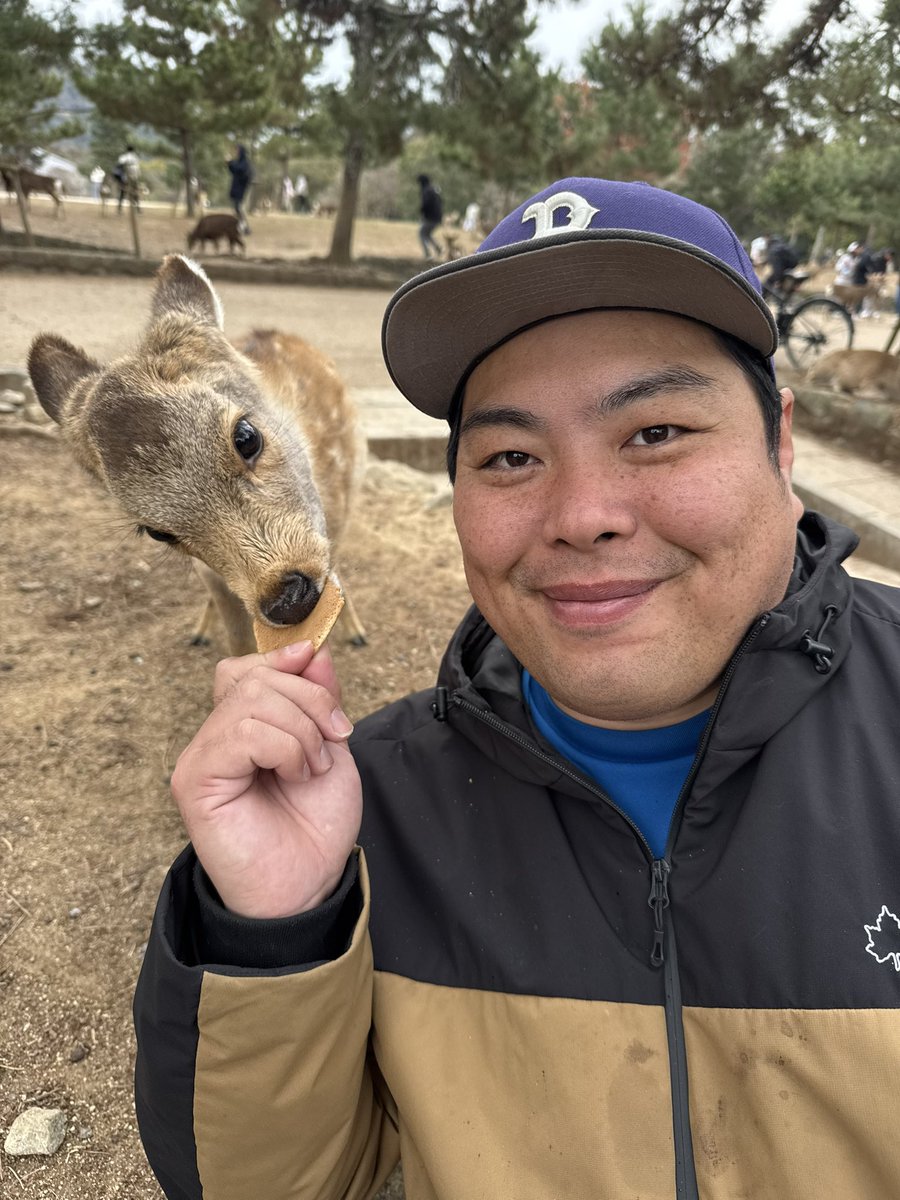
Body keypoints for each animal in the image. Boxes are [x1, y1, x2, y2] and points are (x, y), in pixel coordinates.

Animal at [27, 254, 368, 656]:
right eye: (157, 532)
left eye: (246, 436)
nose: (289, 599)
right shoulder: (211, 573)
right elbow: (239, 642)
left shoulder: (334, 522)